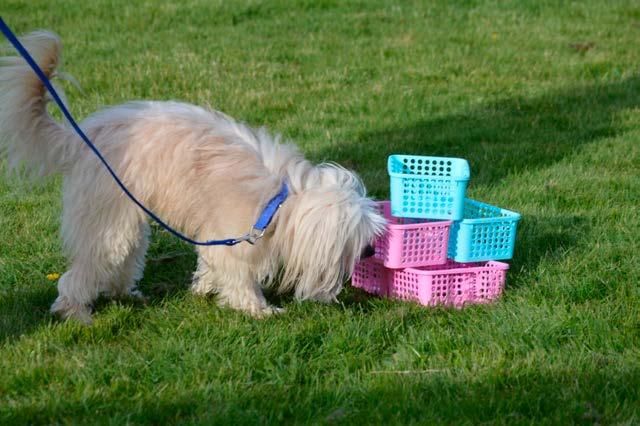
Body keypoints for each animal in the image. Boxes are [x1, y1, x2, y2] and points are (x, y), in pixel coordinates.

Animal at [0, 30, 384, 322]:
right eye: (354, 238)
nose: (369, 251)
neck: (278, 199)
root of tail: (81, 136)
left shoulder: (219, 236)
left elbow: (212, 265)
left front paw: (203, 287)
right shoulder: (232, 234)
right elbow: (239, 277)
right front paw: (258, 309)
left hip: (125, 219)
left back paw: (126, 293)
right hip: (106, 223)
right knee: (82, 272)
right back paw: (75, 312)